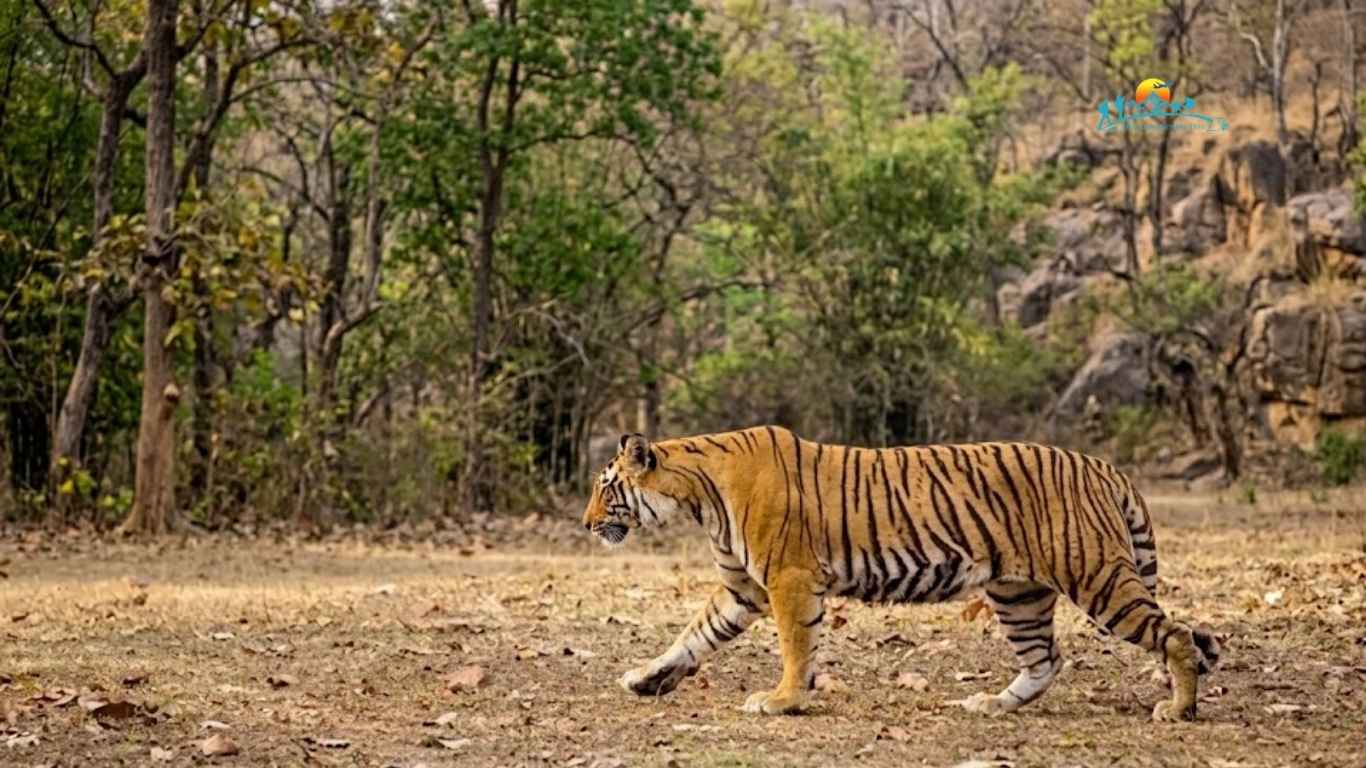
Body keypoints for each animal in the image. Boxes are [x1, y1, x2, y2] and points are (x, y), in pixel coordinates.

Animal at [581, 426, 1221, 721]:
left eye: (605, 488)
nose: (586, 524)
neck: (697, 496)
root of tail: (1104, 467)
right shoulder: (743, 589)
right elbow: (693, 636)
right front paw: (645, 678)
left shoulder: (787, 579)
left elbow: (795, 647)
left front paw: (782, 700)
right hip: (1018, 592)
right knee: (1045, 659)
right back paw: (991, 704)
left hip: (1097, 576)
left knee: (1175, 634)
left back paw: (1179, 709)